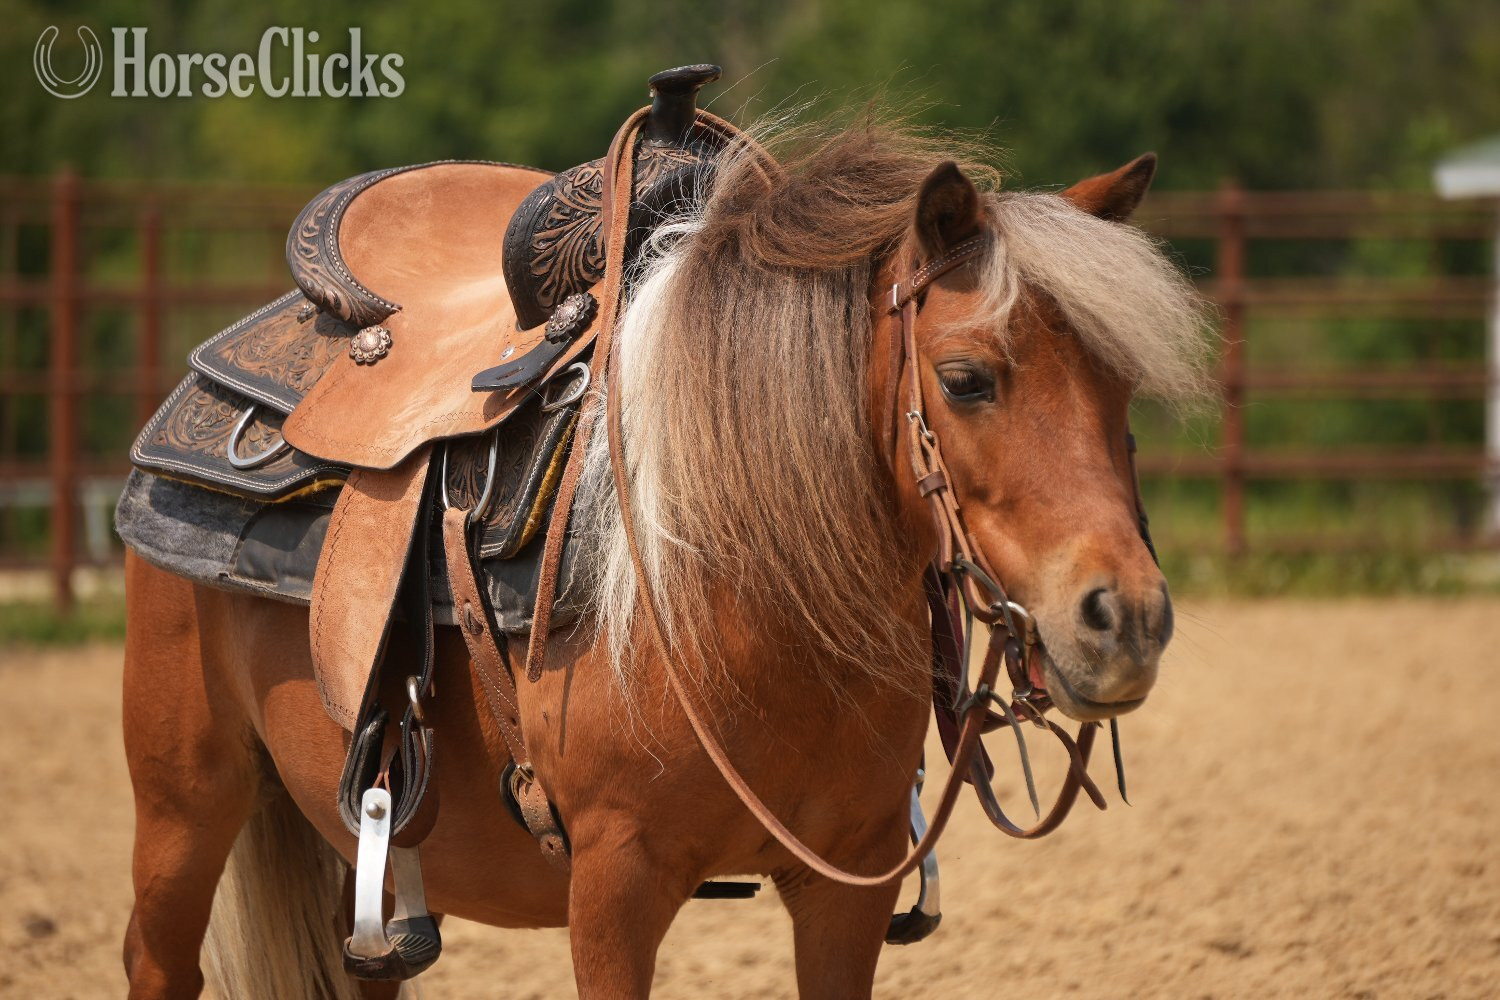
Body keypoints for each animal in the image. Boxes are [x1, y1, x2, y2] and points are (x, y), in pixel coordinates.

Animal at [120, 116, 1210, 999]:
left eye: (1121, 385)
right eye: (967, 379)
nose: (1126, 618)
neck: (740, 598)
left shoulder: (845, 885)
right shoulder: (615, 886)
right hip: (185, 802)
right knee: (156, 957)